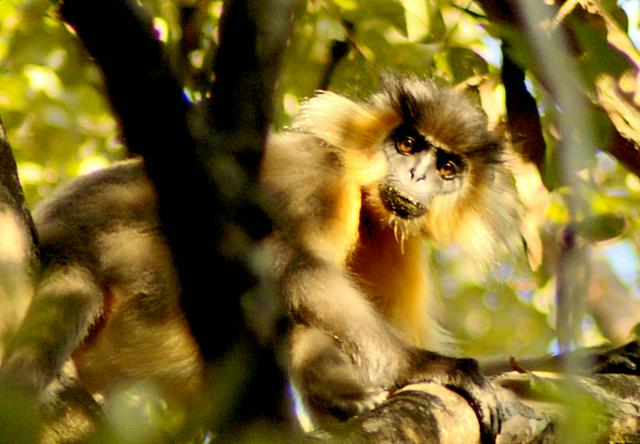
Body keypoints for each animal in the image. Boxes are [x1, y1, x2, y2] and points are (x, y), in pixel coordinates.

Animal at [0, 75, 520, 438]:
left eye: (447, 167)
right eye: (408, 144)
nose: (416, 175)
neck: (365, 201)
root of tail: (66, 251)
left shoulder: (397, 243)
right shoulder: (320, 178)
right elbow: (285, 263)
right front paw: (429, 367)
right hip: (144, 277)